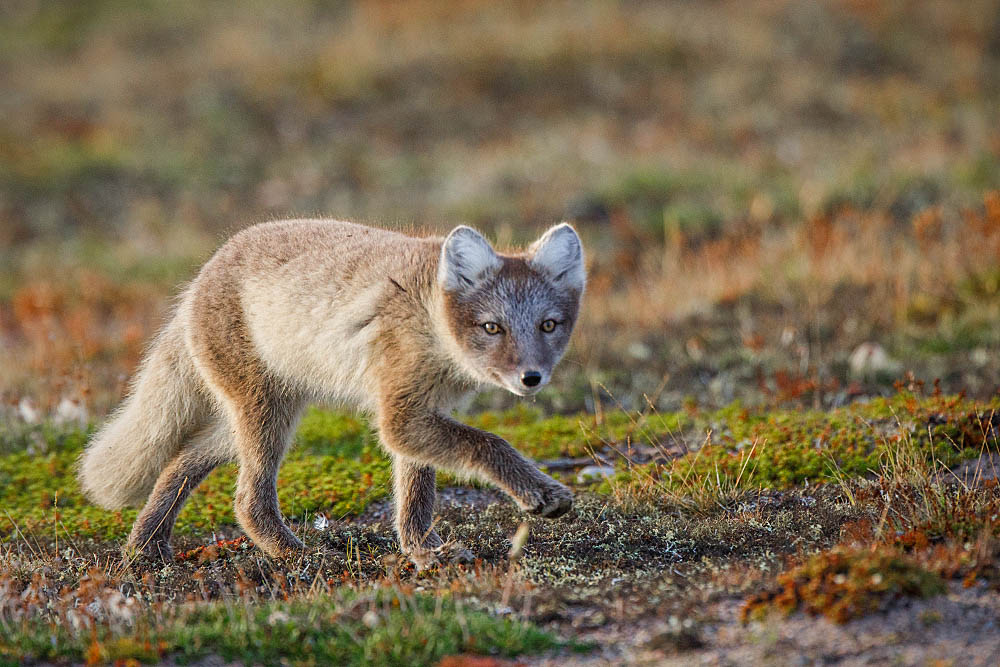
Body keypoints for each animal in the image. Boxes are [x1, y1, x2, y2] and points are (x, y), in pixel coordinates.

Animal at [84, 220, 584, 568]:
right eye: (492, 327)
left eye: (548, 325)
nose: (531, 378)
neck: (429, 319)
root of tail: (196, 282)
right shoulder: (400, 417)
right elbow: (489, 444)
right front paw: (540, 492)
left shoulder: (419, 414)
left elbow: (415, 498)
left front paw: (424, 552)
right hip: (264, 419)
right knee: (246, 499)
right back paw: (298, 556)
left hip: (251, 424)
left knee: (182, 460)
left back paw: (145, 548)